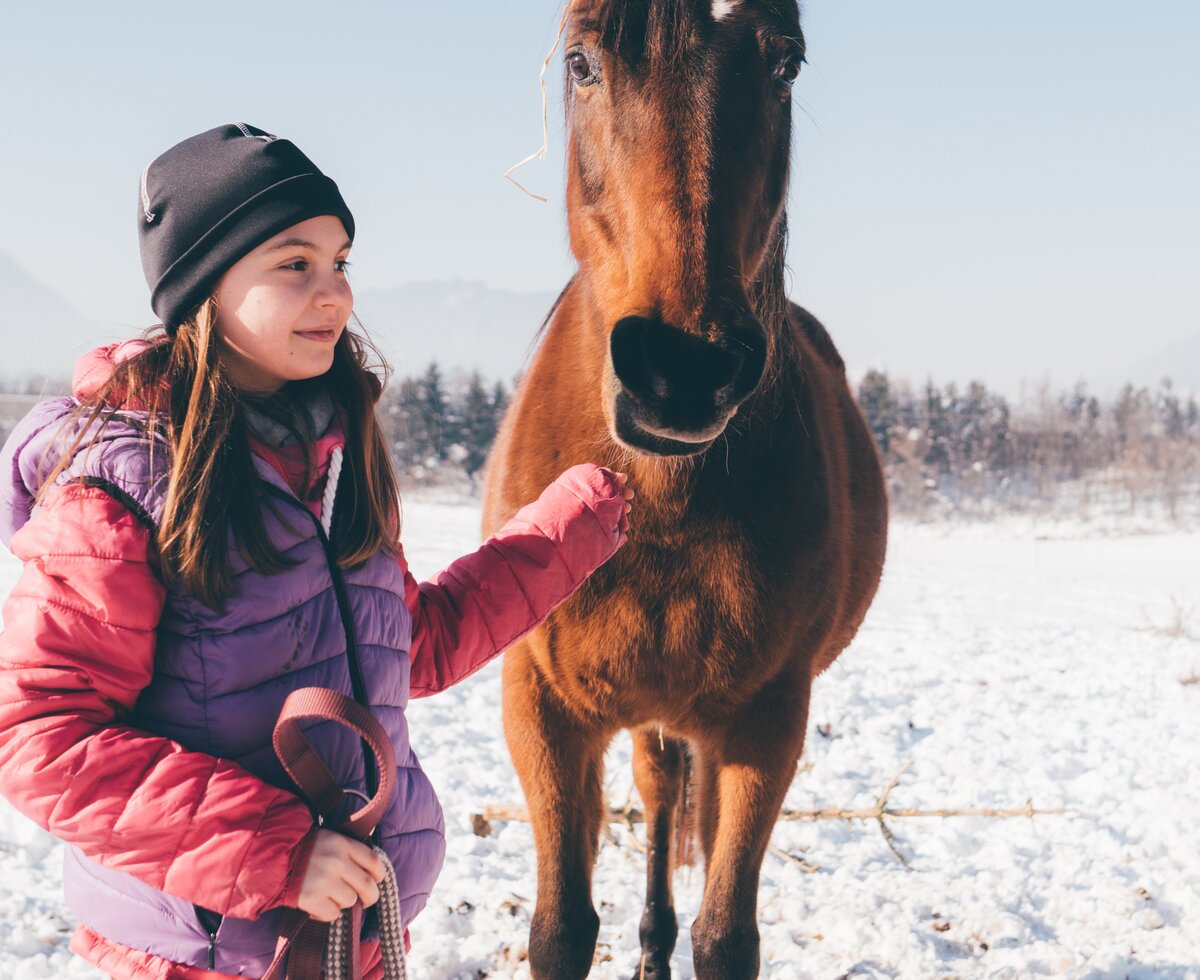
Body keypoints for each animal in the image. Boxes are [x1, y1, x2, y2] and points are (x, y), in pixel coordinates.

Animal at [481, 2, 887, 977]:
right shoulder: (541, 707)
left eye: (786, 63)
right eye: (581, 62)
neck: (659, 504)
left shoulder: (765, 721)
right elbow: (560, 928)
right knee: (660, 793)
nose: (681, 371)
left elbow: (726, 935)